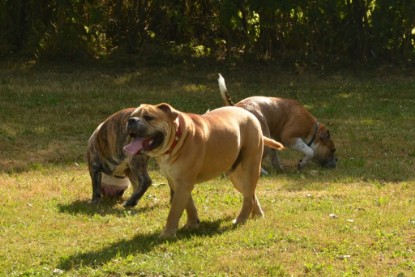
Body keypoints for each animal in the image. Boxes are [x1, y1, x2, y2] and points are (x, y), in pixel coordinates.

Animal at [125, 102, 284, 236]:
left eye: (148, 117)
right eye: (133, 114)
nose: (131, 120)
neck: (177, 139)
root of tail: (249, 114)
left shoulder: (183, 183)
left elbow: (174, 211)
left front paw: (167, 234)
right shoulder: (176, 182)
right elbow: (188, 205)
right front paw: (192, 224)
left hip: (249, 167)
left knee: (248, 198)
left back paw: (240, 219)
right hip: (238, 177)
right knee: (250, 194)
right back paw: (257, 214)